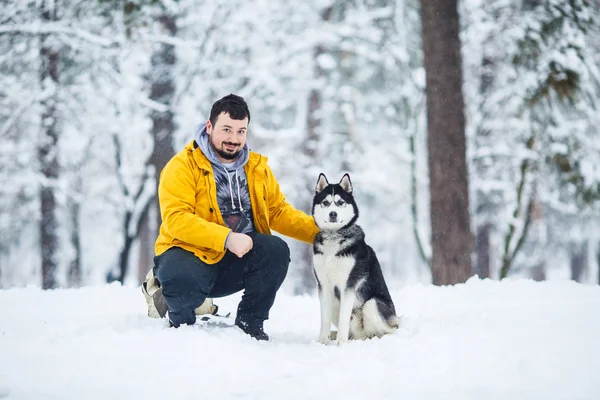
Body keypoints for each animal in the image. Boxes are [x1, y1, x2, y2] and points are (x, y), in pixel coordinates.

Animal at [312, 173, 400, 344]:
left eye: (340, 202)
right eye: (325, 203)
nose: (333, 214)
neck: (334, 238)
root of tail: (362, 335)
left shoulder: (349, 284)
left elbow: (343, 318)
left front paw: (341, 343)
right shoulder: (323, 285)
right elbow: (324, 318)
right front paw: (322, 341)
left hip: (372, 305)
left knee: (391, 329)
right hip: (336, 302)